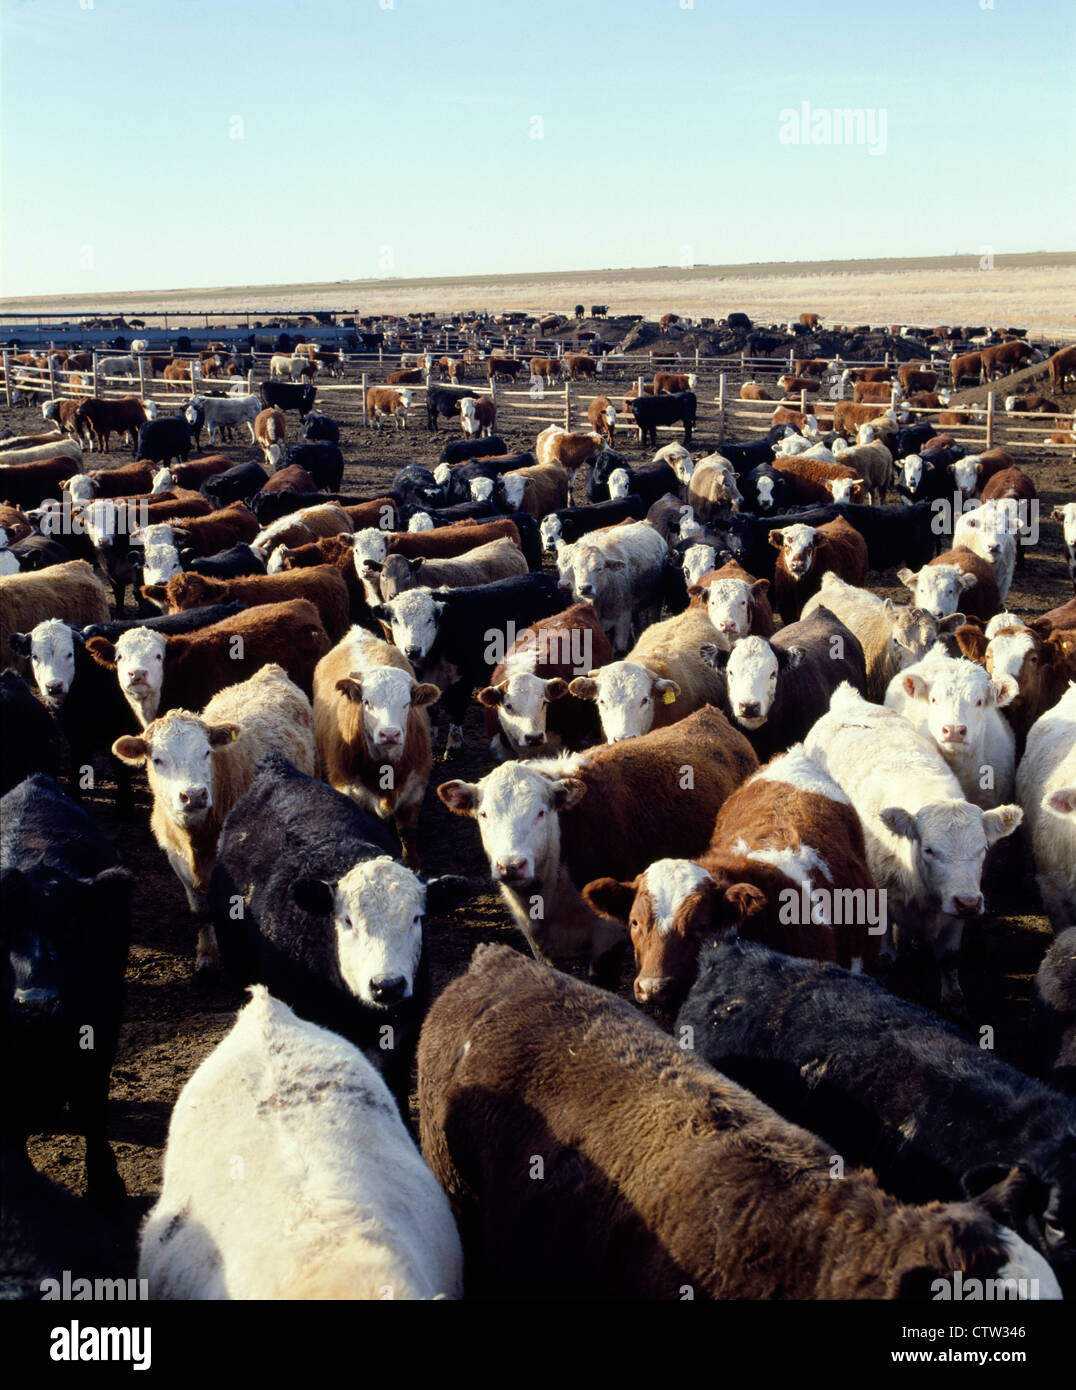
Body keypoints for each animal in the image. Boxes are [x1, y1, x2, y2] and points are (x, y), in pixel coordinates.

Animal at [1, 778, 134, 1200]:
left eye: (72, 927)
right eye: (3, 929)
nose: (37, 1003)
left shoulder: (101, 1027)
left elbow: (90, 1107)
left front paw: (106, 1185)